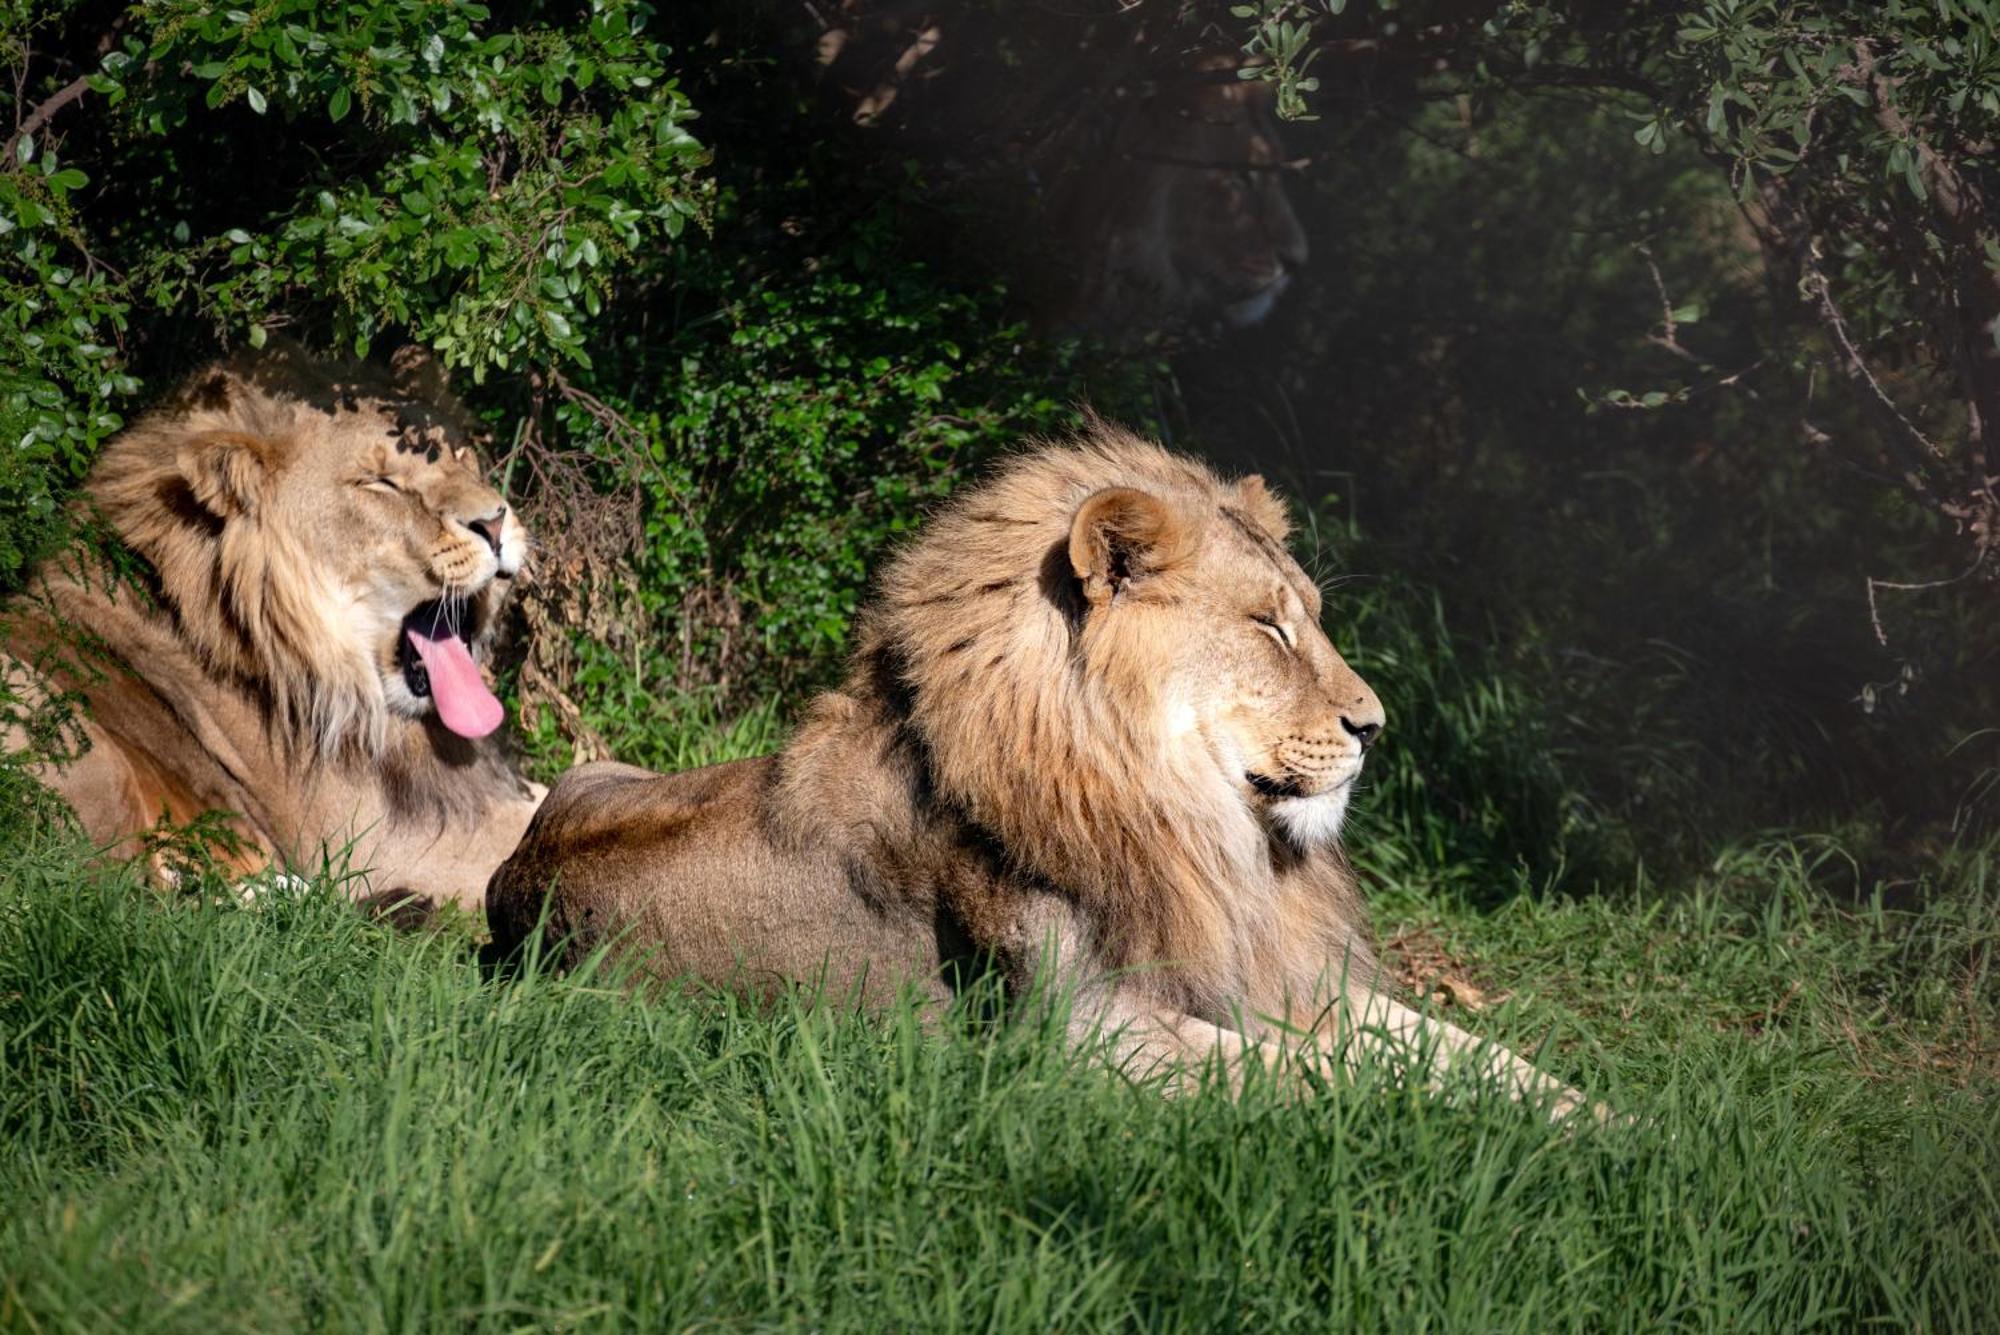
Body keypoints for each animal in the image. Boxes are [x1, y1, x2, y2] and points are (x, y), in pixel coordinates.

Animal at [488, 429, 1592, 1119]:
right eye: (1268, 627)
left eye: (1308, 617)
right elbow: (1338, 1076)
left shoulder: (1270, 977)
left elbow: (1463, 1051)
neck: (1195, 829)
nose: (1374, 726)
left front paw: (1606, 1120)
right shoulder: (1081, 1039)